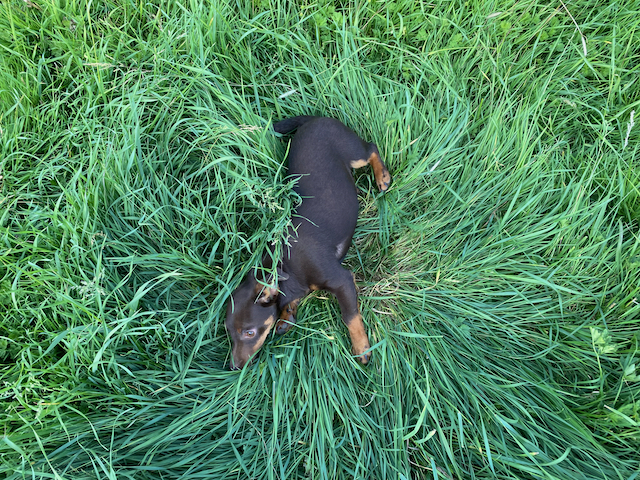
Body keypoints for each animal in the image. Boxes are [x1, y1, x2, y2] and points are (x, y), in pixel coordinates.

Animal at [228, 116, 392, 372]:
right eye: (229, 333)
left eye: (249, 332)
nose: (234, 367)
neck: (284, 265)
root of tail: (315, 119)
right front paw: (286, 316)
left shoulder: (342, 281)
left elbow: (350, 316)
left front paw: (362, 348)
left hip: (354, 154)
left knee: (371, 148)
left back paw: (382, 176)